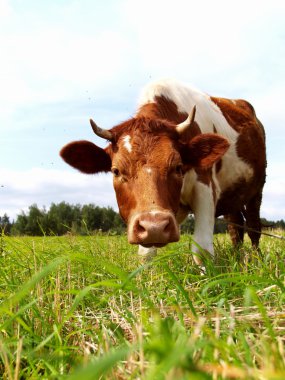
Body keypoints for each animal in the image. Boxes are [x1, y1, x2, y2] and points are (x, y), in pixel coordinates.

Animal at [60, 79, 266, 264]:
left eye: (178, 167)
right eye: (116, 171)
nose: (155, 227)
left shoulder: (205, 187)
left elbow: (202, 250)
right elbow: (146, 255)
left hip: (257, 189)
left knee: (253, 228)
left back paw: (256, 261)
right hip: (233, 195)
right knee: (235, 228)